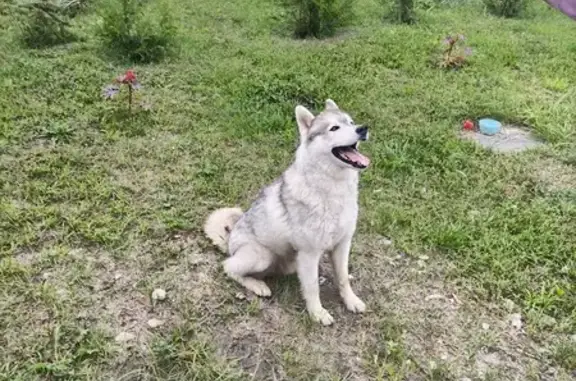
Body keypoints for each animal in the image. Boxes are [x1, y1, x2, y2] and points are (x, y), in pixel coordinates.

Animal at [205, 98, 372, 324]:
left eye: (351, 122)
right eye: (334, 128)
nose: (363, 128)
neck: (331, 191)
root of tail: (229, 241)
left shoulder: (342, 245)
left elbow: (343, 278)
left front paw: (351, 300)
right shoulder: (310, 253)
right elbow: (312, 287)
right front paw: (317, 313)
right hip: (262, 256)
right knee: (228, 266)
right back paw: (258, 285)